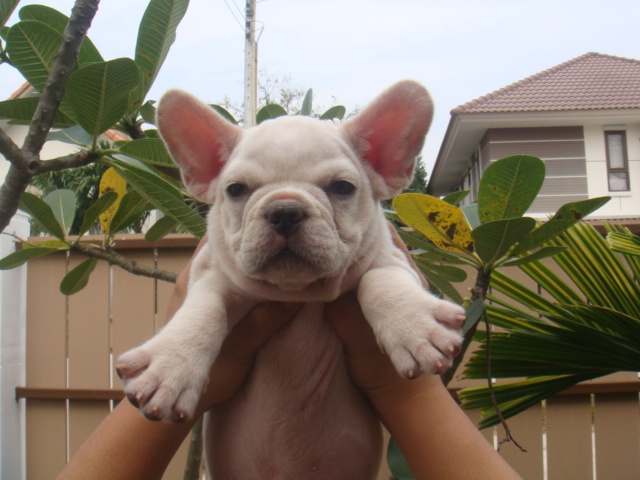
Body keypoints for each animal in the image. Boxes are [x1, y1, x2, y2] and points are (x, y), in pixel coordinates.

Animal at [116, 80, 465, 479]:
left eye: (342, 187)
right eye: (236, 190)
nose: (284, 211)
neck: (299, 294)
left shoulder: (390, 256)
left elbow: (379, 281)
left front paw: (415, 327)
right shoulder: (211, 275)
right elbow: (204, 310)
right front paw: (171, 365)